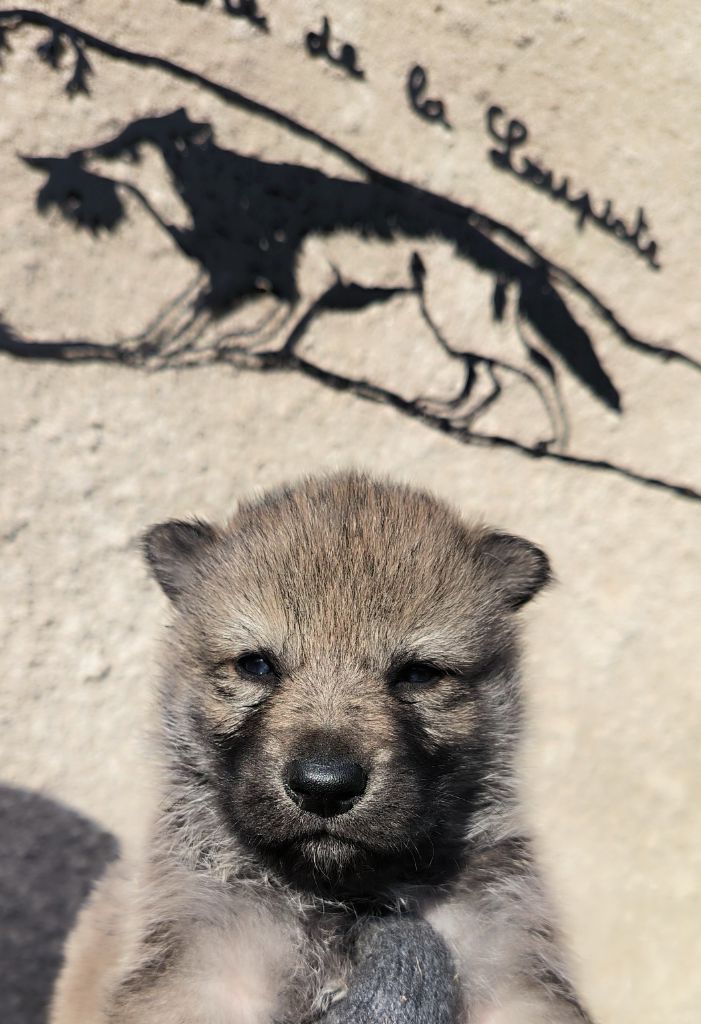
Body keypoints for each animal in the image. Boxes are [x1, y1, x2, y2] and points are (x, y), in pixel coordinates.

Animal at [51, 473, 593, 1024]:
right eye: (255, 665)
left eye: (419, 674)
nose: (324, 788)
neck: (341, 897)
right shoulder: (201, 970)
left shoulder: (513, 969)